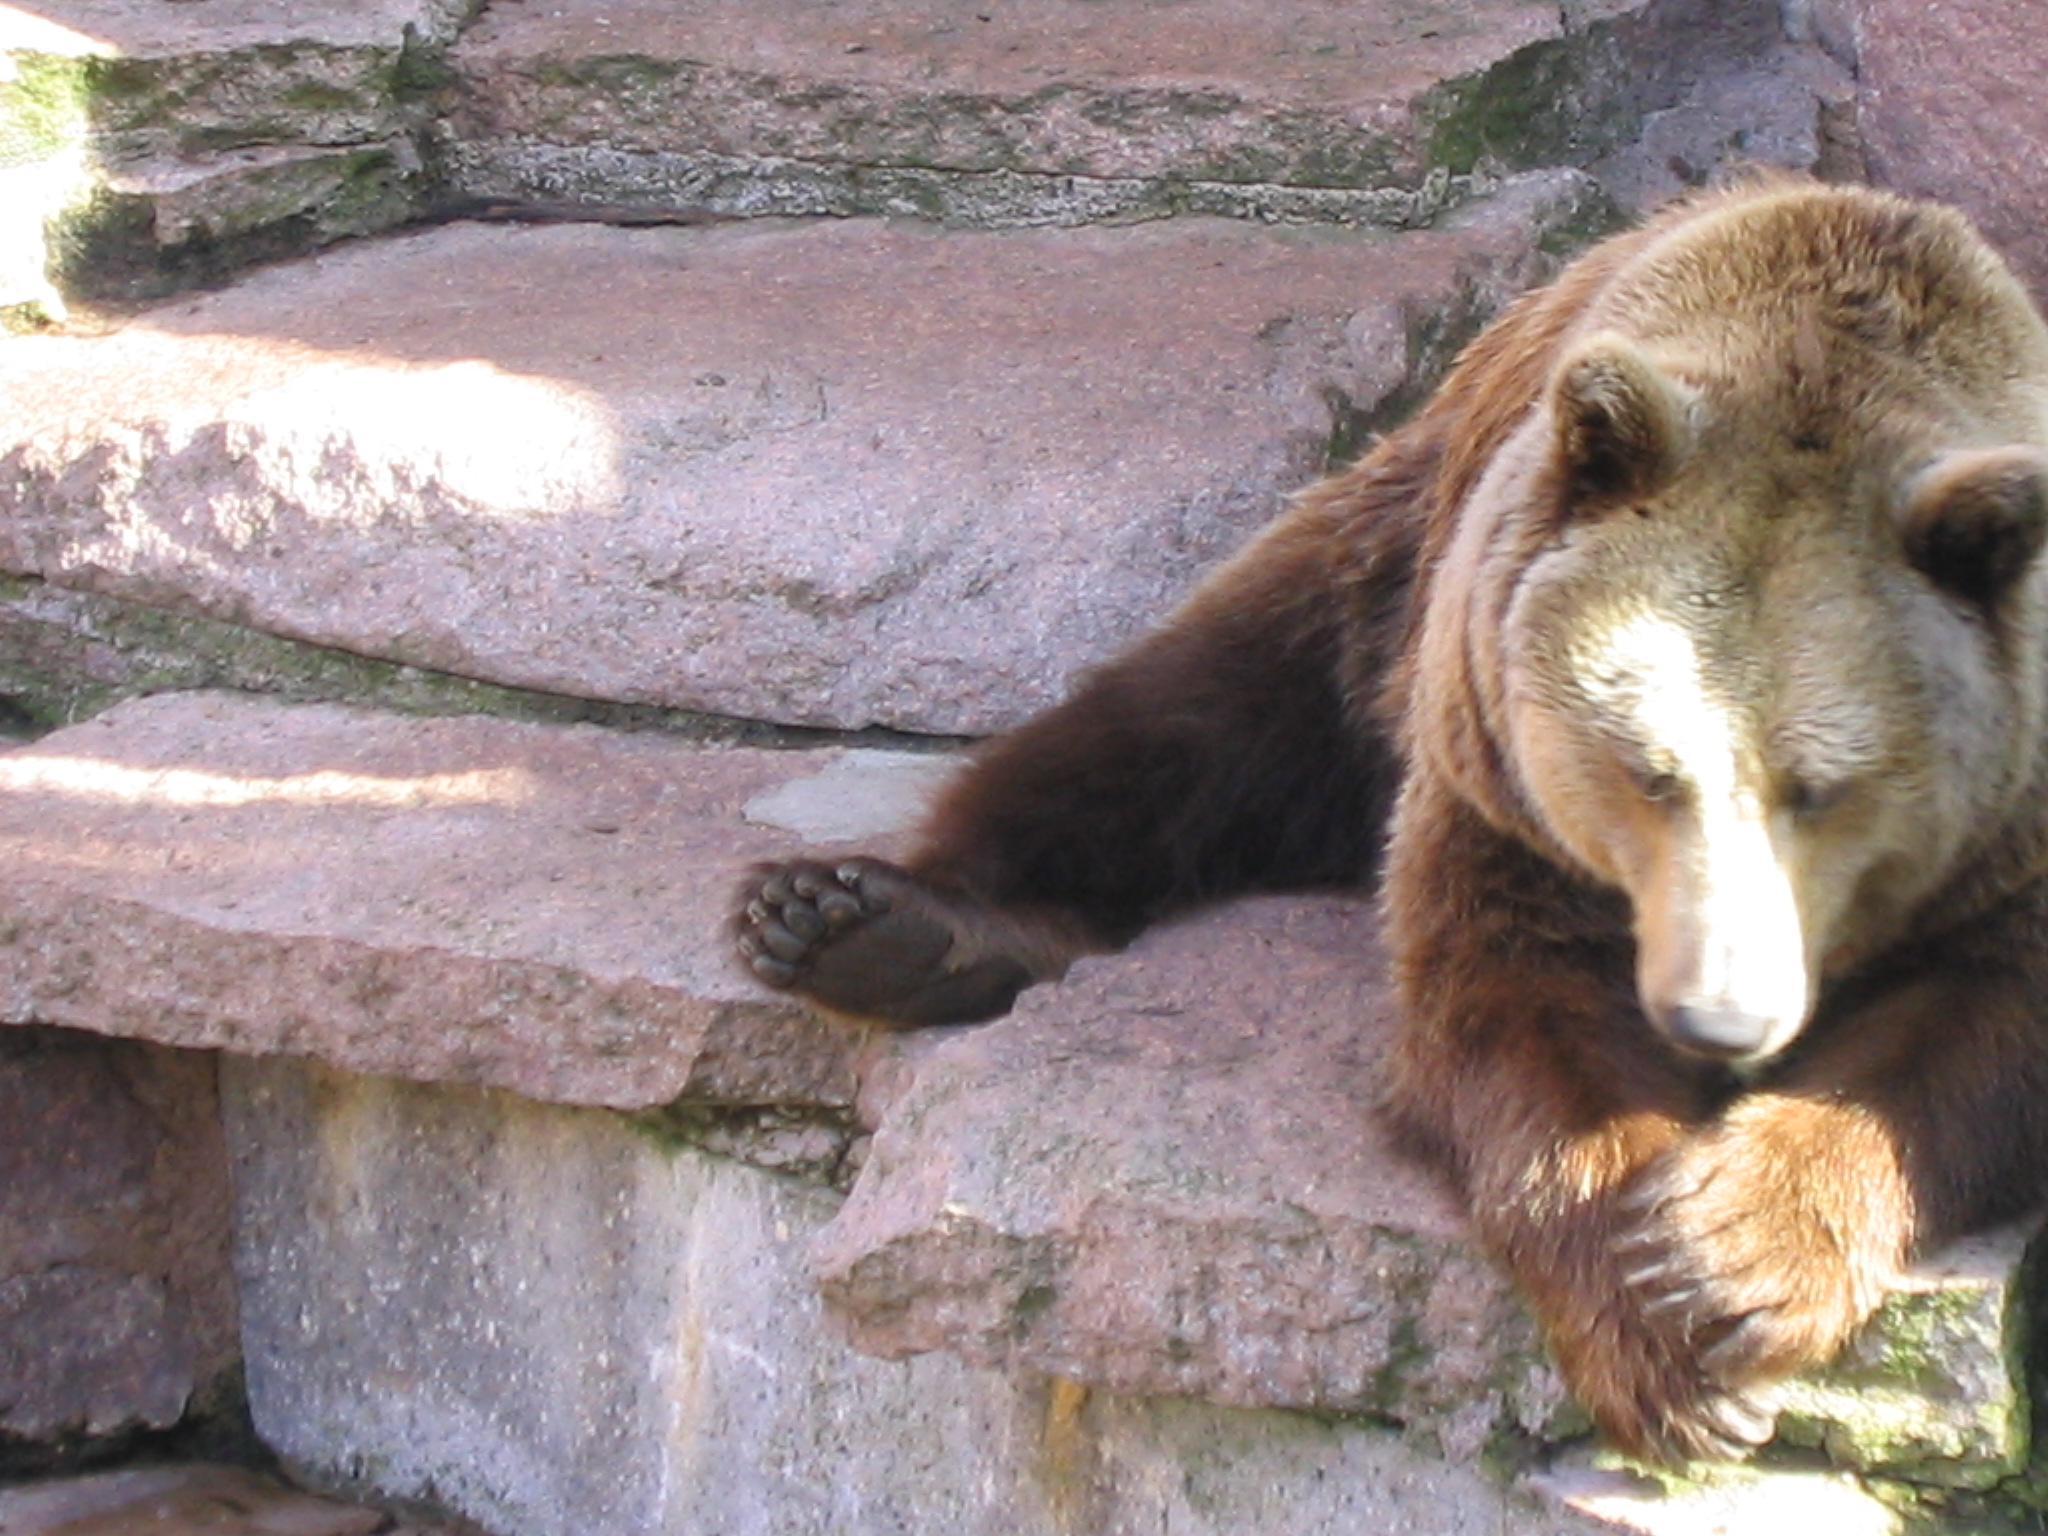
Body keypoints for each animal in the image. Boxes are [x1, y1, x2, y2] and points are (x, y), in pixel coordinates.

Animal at [741, 180, 2048, 1466]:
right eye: (1648, 770)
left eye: (1818, 785)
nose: (1715, 1016)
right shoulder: (1497, 784)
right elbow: (1513, 1003)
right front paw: (1662, 1332)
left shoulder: (2010, 830)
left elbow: (1965, 1035)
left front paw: (1721, 1258)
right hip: (1385, 580)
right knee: (1185, 714)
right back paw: (863, 923)